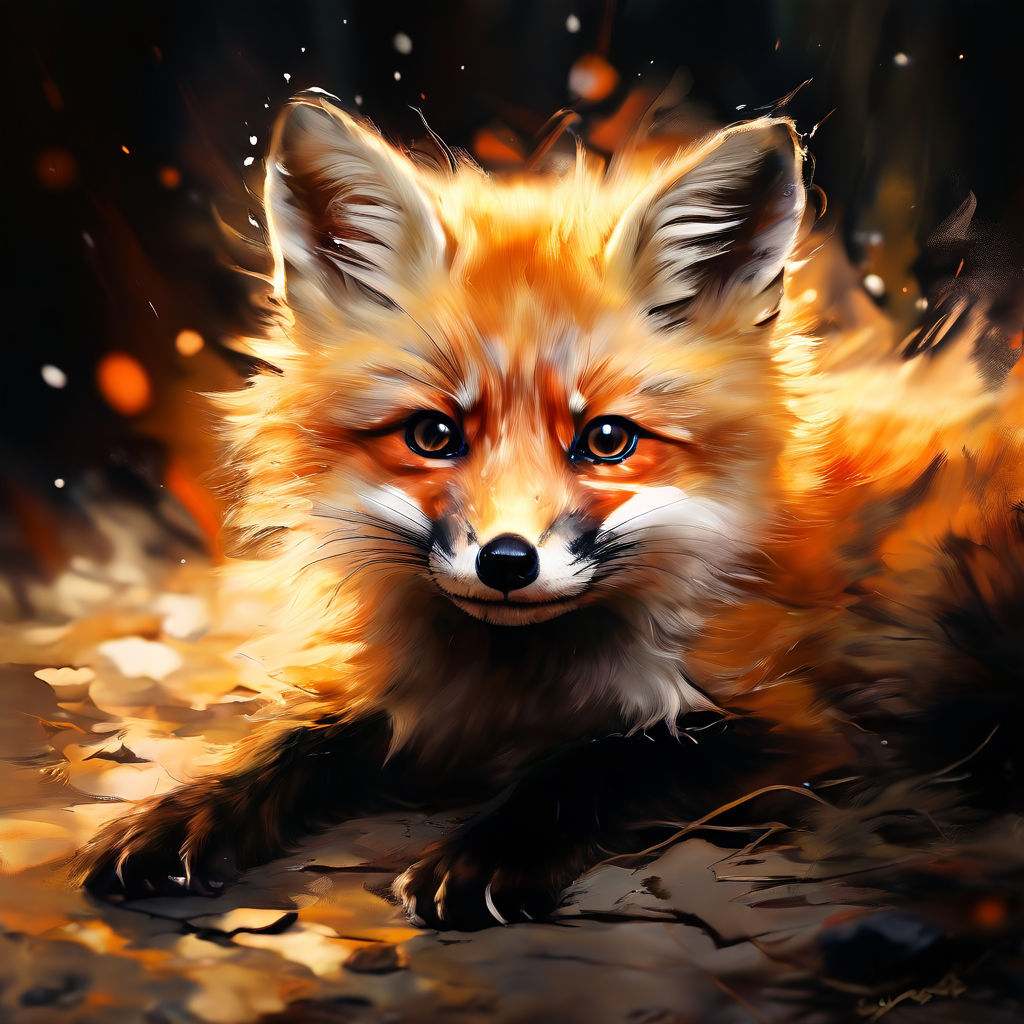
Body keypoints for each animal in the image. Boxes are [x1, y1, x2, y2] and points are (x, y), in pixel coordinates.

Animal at [76, 96, 1024, 930]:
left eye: (606, 440)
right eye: (434, 434)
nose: (506, 562)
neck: (516, 683)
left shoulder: (809, 730)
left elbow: (604, 761)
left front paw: (487, 853)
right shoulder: (419, 704)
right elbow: (298, 742)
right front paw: (187, 811)